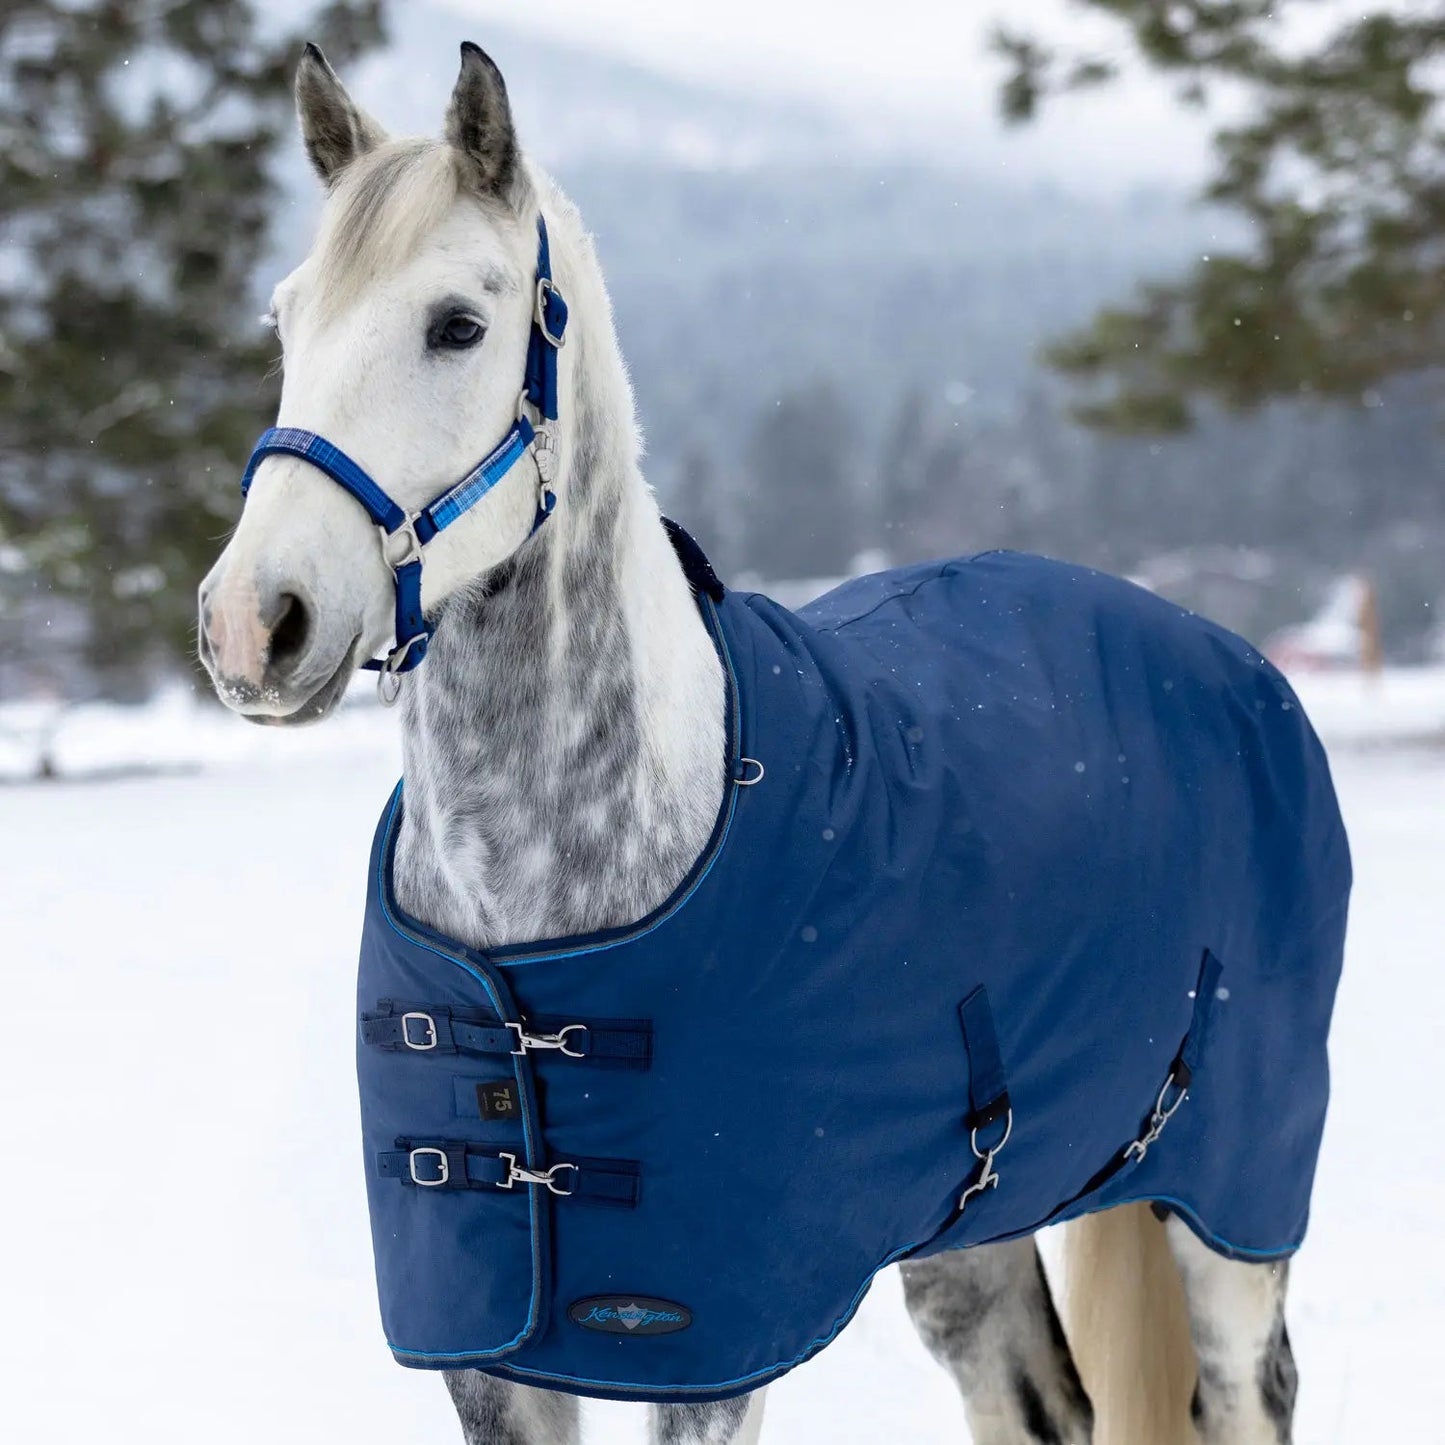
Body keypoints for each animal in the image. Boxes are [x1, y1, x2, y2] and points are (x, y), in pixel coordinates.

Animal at [198, 42, 1346, 1445]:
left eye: (457, 324)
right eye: (285, 320)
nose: (254, 621)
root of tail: (1229, 659)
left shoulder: (709, 1354)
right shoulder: (488, 1353)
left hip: (1229, 1203)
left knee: (1241, 1385)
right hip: (972, 1228)